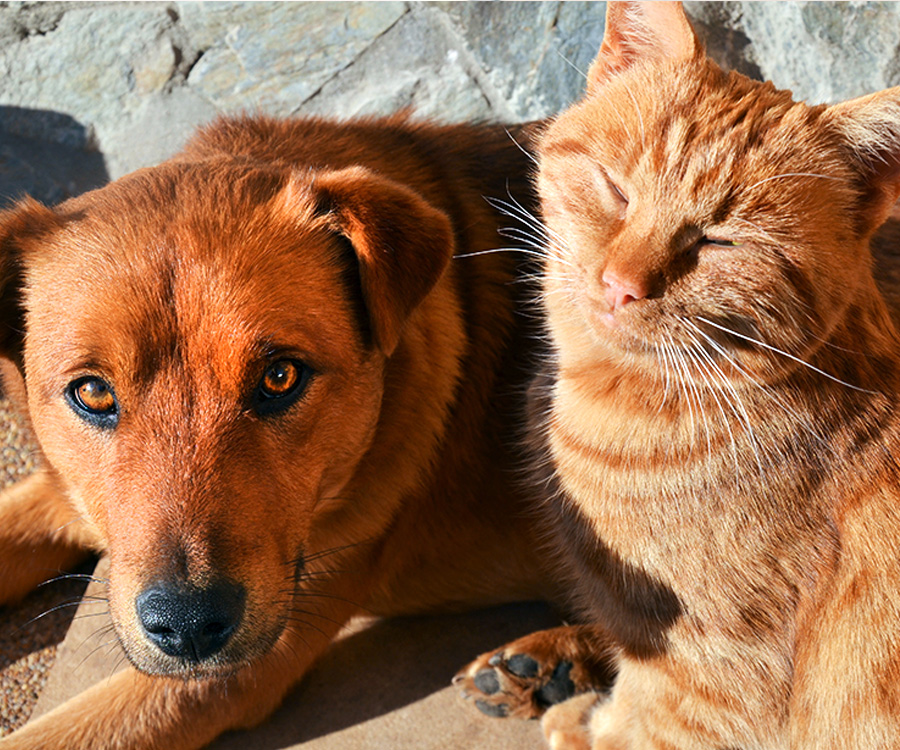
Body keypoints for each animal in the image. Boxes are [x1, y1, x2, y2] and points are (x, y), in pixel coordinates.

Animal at [460, 2, 900, 748]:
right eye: (618, 190)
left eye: (720, 242)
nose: (621, 285)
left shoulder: (710, 679)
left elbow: (637, 726)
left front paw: (583, 722)